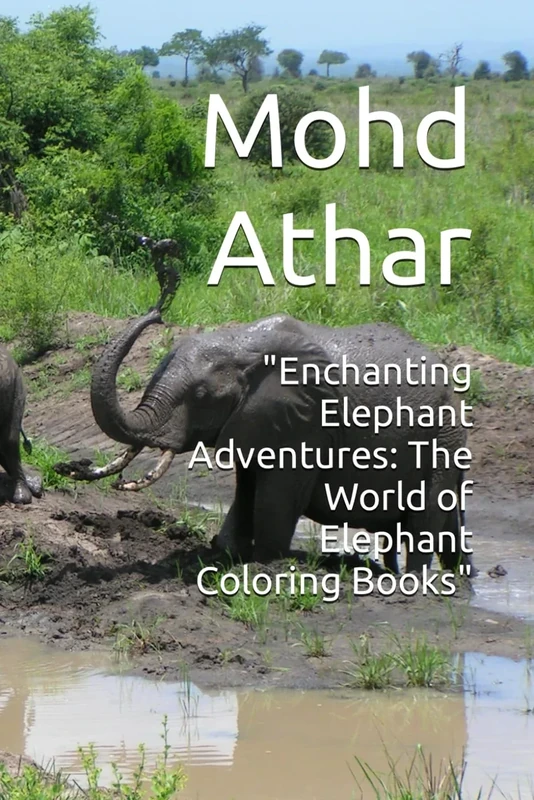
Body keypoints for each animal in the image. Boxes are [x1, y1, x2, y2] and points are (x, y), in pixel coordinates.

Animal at [54, 308, 473, 575]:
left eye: (201, 396)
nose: (157, 311)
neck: (242, 344)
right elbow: (247, 489)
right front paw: (224, 553)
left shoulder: (307, 423)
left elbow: (275, 500)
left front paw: (264, 561)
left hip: (443, 436)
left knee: (425, 522)